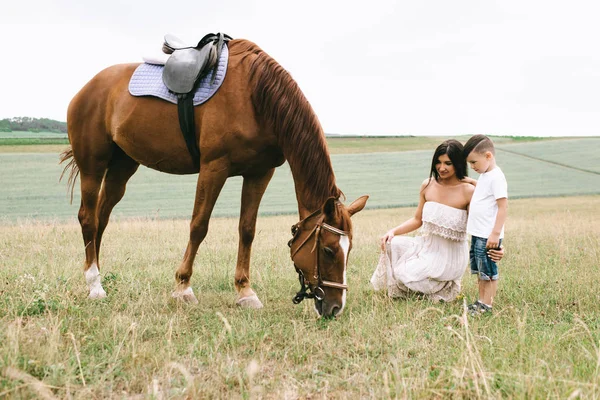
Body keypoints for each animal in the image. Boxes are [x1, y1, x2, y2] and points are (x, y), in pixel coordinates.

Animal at [63, 38, 368, 318]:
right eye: (328, 250)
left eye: (350, 249)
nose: (335, 307)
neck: (256, 97)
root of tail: (86, 89)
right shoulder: (214, 167)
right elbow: (199, 226)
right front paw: (183, 287)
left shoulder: (260, 173)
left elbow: (247, 229)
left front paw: (245, 292)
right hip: (92, 167)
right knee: (88, 218)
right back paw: (94, 285)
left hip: (122, 167)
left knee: (102, 218)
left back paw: (97, 276)